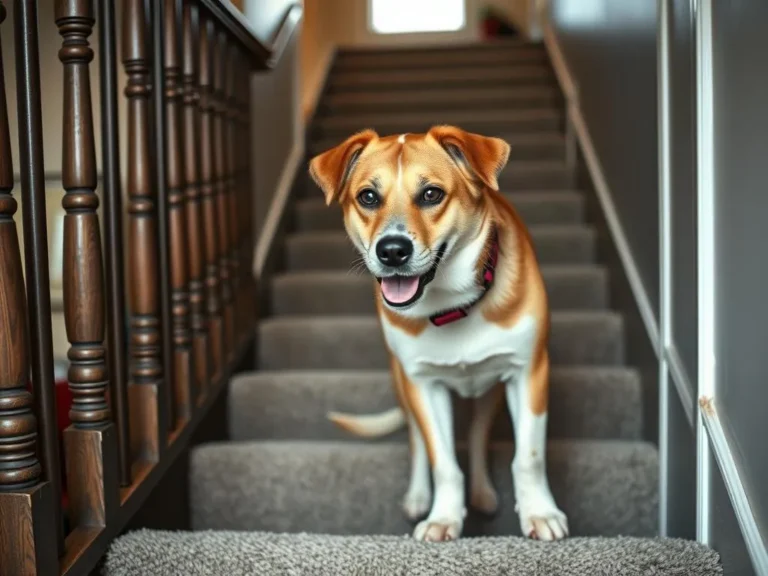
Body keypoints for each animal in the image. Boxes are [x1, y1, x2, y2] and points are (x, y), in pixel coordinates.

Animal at [308, 126, 568, 544]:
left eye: (431, 194)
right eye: (368, 197)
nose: (392, 250)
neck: (453, 306)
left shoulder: (530, 373)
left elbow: (529, 457)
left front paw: (539, 513)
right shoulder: (423, 386)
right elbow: (442, 462)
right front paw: (444, 517)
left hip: (490, 394)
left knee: (477, 436)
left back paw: (482, 492)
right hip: (403, 384)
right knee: (417, 441)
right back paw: (418, 496)